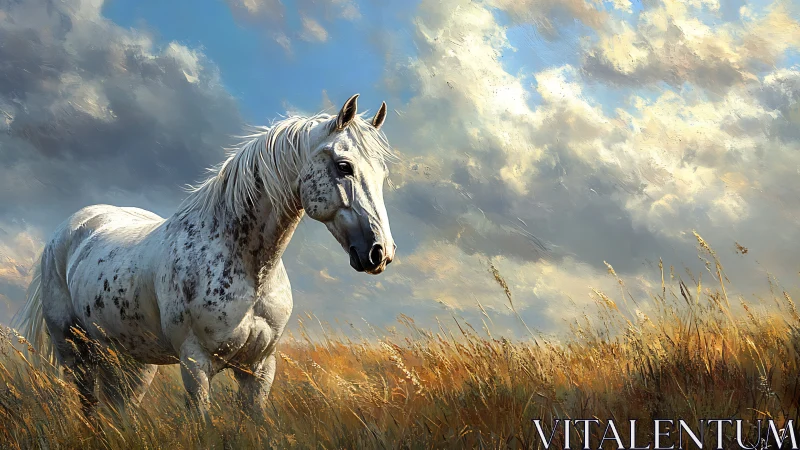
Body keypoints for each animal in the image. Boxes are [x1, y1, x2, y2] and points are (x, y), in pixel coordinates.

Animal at [13, 94, 396, 422]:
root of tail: (73, 227)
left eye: (382, 174)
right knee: (89, 406)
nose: (380, 252)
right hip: (74, 351)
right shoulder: (195, 363)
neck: (249, 268)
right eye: (344, 166)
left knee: (120, 407)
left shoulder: (259, 368)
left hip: (131, 359)